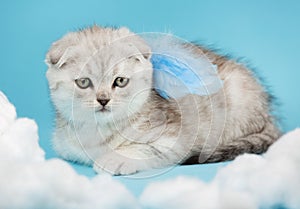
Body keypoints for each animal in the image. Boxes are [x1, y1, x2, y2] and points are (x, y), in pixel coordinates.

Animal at [45, 25, 282, 175]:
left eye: (120, 81)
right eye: (84, 82)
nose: (103, 100)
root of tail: (269, 115)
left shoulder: (175, 139)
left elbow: (143, 148)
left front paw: (115, 158)